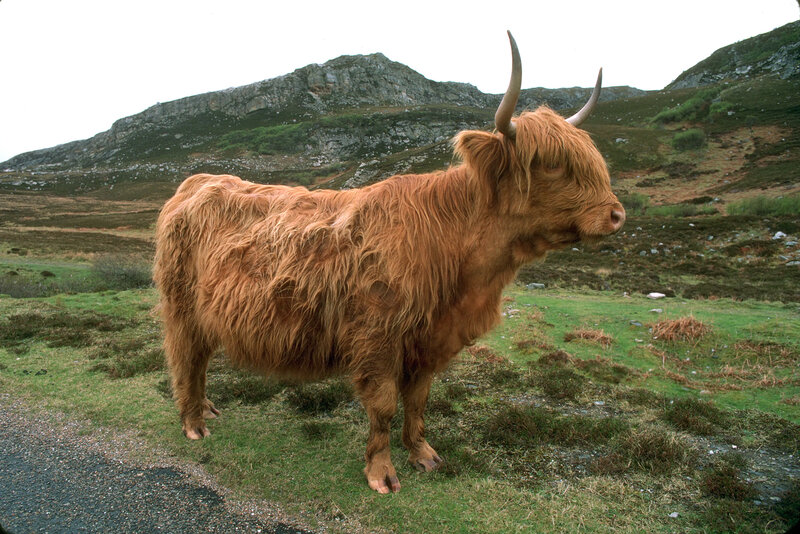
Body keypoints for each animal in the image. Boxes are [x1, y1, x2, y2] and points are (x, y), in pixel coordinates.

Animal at [153, 32, 625, 494]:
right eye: (552, 164)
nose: (617, 214)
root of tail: (198, 181)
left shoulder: (429, 339)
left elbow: (417, 400)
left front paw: (422, 453)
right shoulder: (377, 336)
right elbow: (382, 406)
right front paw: (381, 472)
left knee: (200, 360)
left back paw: (207, 407)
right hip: (182, 307)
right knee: (185, 358)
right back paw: (193, 422)